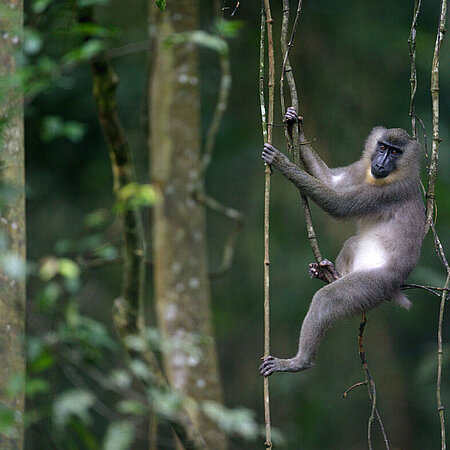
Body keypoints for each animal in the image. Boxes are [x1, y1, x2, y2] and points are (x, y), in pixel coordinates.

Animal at [258, 108, 424, 376]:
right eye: (382, 147)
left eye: (395, 152)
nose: (380, 163)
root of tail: (396, 288)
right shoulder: (361, 168)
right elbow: (331, 181)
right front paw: (294, 122)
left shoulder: (390, 192)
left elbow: (339, 204)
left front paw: (282, 162)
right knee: (352, 244)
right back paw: (330, 273)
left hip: (374, 284)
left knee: (329, 299)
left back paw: (299, 362)